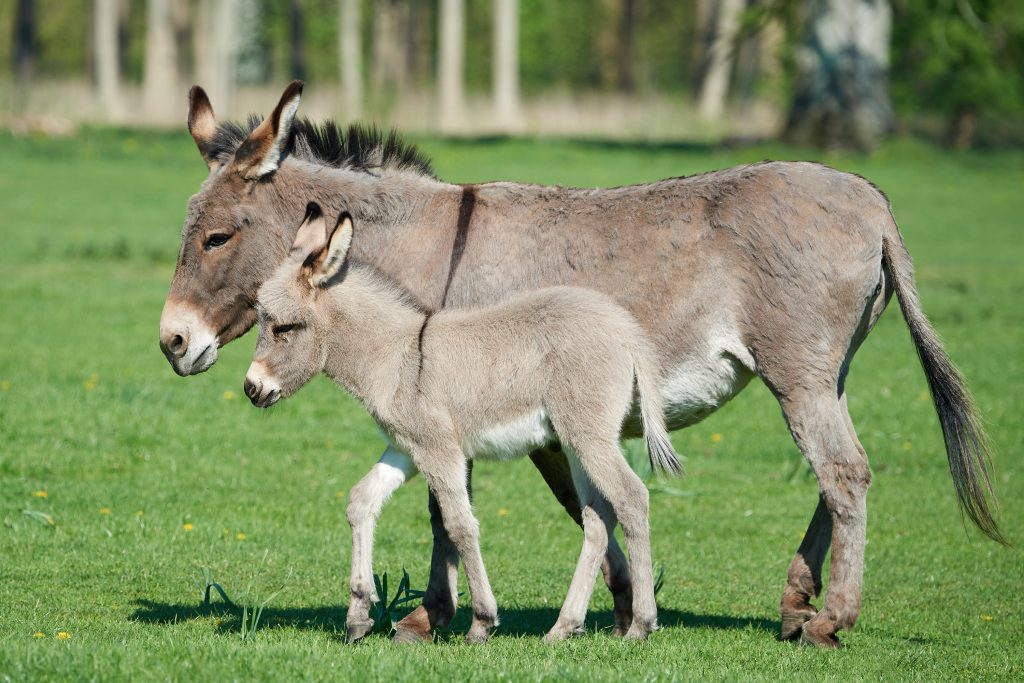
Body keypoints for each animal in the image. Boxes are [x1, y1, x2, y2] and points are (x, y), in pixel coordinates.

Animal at [243, 205, 684, 643]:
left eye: (284, 327)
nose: (250, 388)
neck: (399, 355)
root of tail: (627, 332)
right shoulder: (405, 448)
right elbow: (361, 501)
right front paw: (358, 615)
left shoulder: (439, 450)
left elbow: (459, 525)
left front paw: (482, 621)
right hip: (576, 440)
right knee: (597, 516)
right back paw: (563, 626)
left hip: (590, 437)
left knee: (631, 498)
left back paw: (641, 624)